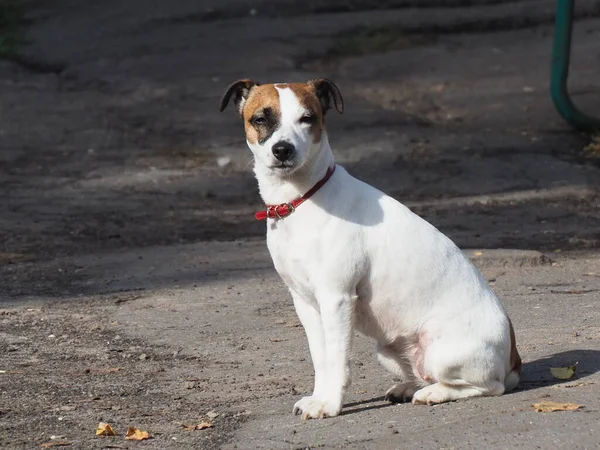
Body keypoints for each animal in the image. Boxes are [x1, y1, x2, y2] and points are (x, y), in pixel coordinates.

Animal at [219, 79, 520, 420]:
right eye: (260, 118)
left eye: (307, 119)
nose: (283, 149)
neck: (302, 199)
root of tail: (513, 359)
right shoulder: (306, 303)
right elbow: (321, 359)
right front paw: (319, 397)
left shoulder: (336, 299)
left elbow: (337, 360)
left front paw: (330, 404)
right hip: (388, 350)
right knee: (426, 375)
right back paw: (410, 387)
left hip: (443, 352)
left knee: (487, 386)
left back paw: (433, 394)